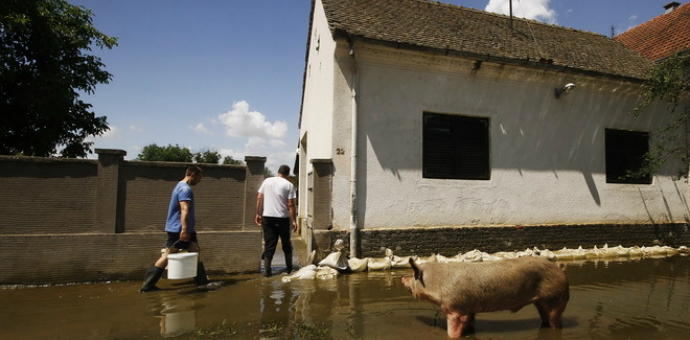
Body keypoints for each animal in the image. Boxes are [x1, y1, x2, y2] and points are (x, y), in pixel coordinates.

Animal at [400, 255, 568, 338]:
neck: (437, 283)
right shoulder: (468, 308)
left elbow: (453, 331)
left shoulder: (454, 308)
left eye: (413, 275)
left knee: (556, 320)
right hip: (541, 302)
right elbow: (469, 322)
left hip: (556, 298)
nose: (402, 278)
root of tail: (560, 269)